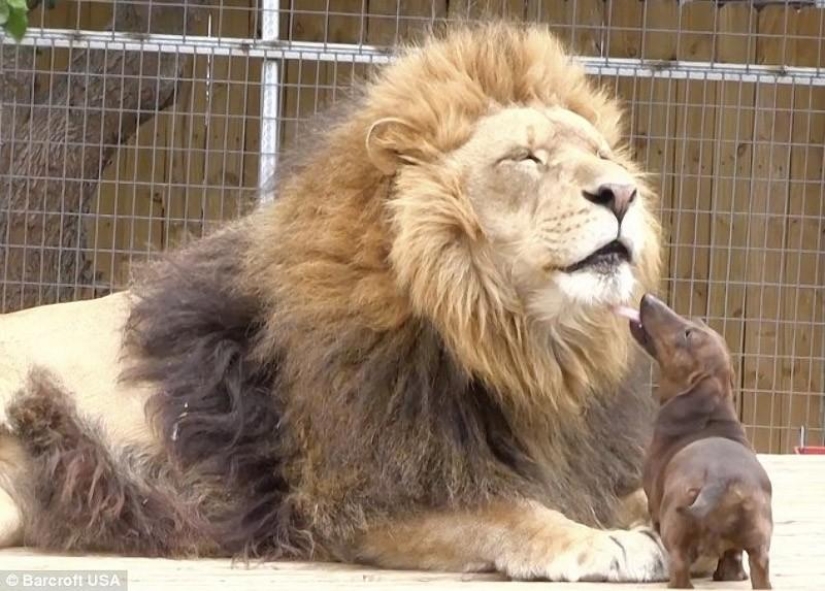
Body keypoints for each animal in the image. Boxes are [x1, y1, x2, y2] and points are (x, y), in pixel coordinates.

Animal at [0, 21, 671, 582]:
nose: (622, 193)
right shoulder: (359, 500)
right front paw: (601, 542)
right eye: (525, 158)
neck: (519, 346)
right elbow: (508, 511)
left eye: (603, 156)